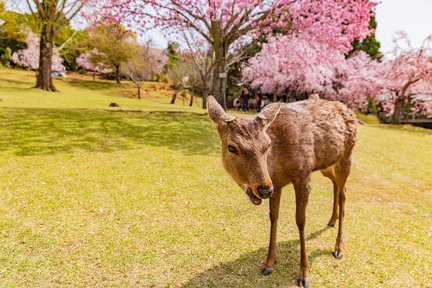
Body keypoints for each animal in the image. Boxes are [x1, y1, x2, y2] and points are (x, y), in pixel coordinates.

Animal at [207, 94, 358, 286]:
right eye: (232, 147)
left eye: (267, 145)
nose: (264, 189)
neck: (278, 165)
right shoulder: (277, 184)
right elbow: (273, 217)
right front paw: (268, 264)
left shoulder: (303, 175)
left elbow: (301, 220)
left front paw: (304, 274)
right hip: (326, 164)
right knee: (336, 185)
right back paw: (332, 220)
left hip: (347, 156)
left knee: (344, 192)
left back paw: (338, 248)